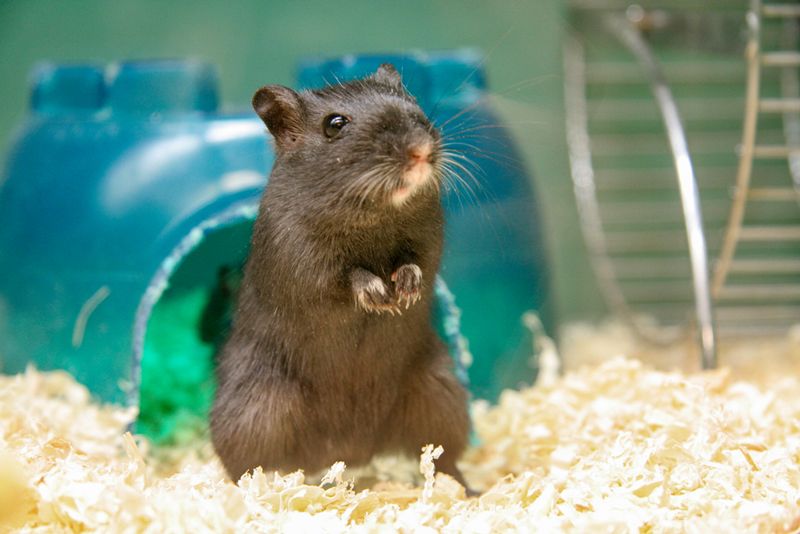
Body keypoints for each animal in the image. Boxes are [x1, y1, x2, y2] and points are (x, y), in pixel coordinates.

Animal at [212, 63, 472, 494]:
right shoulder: (304, 256)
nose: (421, 150)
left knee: (442, 456)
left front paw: (404, 293)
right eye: (335, 125)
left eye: (412, 101)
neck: (373, 213)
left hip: (438, 394)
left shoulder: (427, 238)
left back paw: (465, 488)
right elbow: (346, 276)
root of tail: (349, 450)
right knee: (246, 467)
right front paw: (381, 297)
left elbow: (415, 262)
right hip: (255, 409)